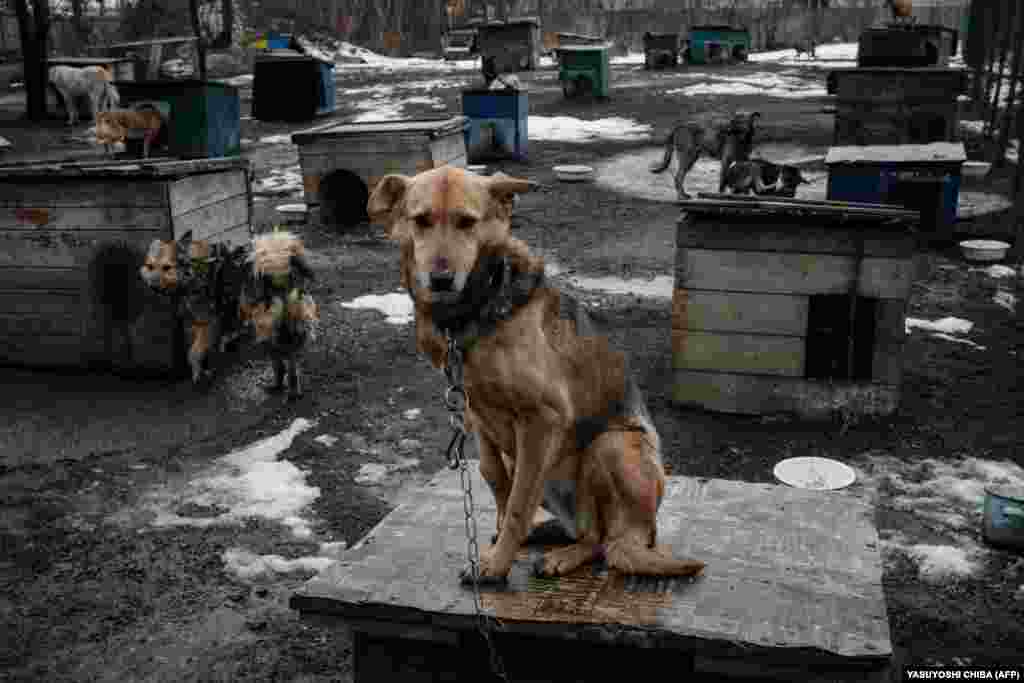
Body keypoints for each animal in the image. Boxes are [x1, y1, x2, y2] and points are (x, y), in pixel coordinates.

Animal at [368, 165, 704, 581]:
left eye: (467, 222)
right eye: (421, 220)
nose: (440, 280)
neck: (474, 309)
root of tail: (641, 535)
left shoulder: (543, 419)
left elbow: (518, 500)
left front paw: (496, 565)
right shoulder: (475, 411)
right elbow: (494, 476)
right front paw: (501, 535)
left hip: (609, 446)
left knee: (601, 543)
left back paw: (565, 555)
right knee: (588, 534)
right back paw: (549, 536)